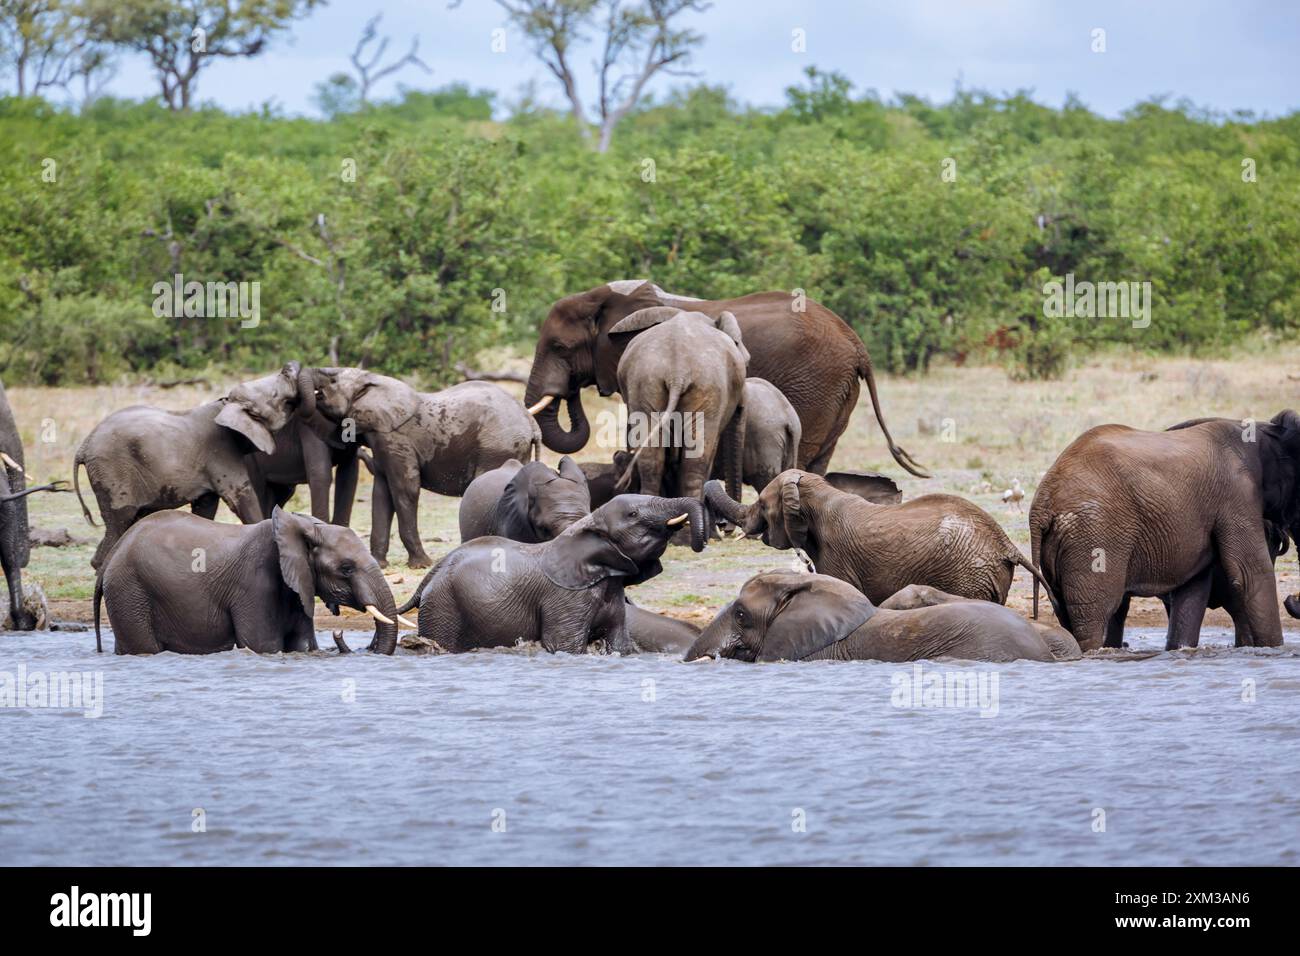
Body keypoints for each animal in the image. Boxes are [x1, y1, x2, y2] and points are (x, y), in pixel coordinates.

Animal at [94, 507, 408, 655]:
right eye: (346, 568)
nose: (339, 634)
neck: (304, 526)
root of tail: (111, 558)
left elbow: (302, 644)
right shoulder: (254, 583)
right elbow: (264, 645)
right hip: (130, 590)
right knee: (144, 646)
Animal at [299, 369, 541, 567]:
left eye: (333, 380)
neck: (374, 382)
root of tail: (530, 422)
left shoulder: (396, 438)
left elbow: (405, 489)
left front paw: (421, 564)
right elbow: (381, 494)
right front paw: (379, 563)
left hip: (498, 447)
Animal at [395, 494, 707, 654]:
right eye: (632, 515)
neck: (587, 523)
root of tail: (431, 574)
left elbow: (619, 643)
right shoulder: (566, 598)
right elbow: (565, 646)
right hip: (443, 606)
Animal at [522, 280, 926, 477]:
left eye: (559, 347)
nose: (568, 389)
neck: (603, 299)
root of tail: (857, 344)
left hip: (817, 384)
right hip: (840, 391)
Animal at [1030, 411, 1300, 652]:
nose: (1290, 599)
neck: (1266, 432)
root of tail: (1042, 501)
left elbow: (1192, 588)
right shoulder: (1237, 494)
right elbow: (1250, 573)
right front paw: (1275, 650)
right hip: (1093, 537)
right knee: (1098, 613)